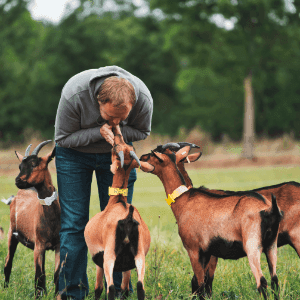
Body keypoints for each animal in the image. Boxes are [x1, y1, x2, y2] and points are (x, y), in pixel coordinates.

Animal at [3, 141, 60, 298]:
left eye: (34, 164)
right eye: (20, 166)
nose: (18, 180)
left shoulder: (58, 245)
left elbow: (56, 274)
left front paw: (57, 295)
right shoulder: (39, 245)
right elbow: (39, 275)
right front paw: (38, 296)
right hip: (12, 234)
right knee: (8, 261)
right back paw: (5, 289)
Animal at [84, 127, 155, 300]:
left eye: (115, 151)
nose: (116, 136)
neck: (117, 202)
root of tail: (127, 216)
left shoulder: (100, 259)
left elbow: (98, 288)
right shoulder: (127, 265)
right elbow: (124, 287)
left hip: (110, 256)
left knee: (110, 287)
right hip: (139, 256)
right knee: (140, 286)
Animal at [139, 145, 282, 298]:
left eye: (154, 155)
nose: (141, 157)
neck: (184, 199)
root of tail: (269, 208)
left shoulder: (194, 249)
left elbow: (200, 284)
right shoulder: (207, 252)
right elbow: (204, 283)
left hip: (252, 245)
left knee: (262, 282)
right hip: (271, 245)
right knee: (274, 280)